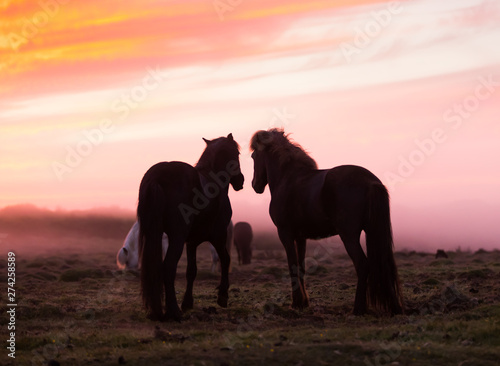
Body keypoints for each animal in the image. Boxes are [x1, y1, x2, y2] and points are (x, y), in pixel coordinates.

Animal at [139, 134, 244, 320]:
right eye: (237, 153)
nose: (241, 181)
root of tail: (158, 176)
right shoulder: (218, 236)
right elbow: (225, 259)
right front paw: (223, 296)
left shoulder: (192, 242)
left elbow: (191, 271)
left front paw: (187, 302)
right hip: (177, 237)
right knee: (168, 267)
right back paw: (173, 311)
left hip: (153, 234)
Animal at [250, 129, 402, 314]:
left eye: (253, 156)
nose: (255, 185)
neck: (288, 179)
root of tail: (371, 181)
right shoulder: (300, 237)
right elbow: (301, 266)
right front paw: (303, 302)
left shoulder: (285, 234)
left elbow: (292, 265)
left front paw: (296, 302)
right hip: (373, 232)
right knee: (384, 265)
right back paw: (395, 307)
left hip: (349, 236)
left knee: (363, 265)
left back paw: (358, 308)